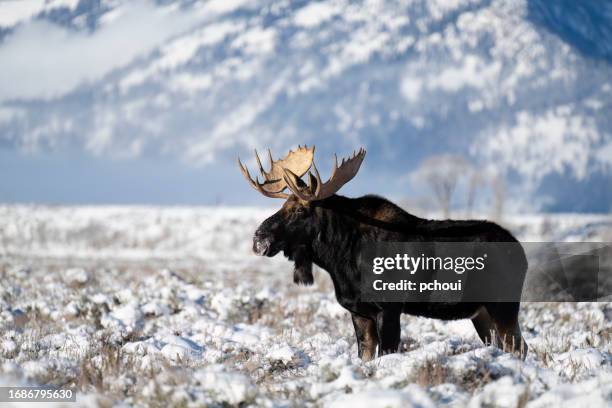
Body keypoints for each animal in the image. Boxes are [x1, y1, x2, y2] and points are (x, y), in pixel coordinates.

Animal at [238, 146, 524, 360]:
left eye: (299, 210)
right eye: (282, 206)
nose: (259, 239)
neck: (340, 260)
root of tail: (521, 252)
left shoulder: (389, 308)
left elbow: (387, 353)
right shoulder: (359, 311)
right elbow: (365, 355)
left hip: (503, 305)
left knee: (518, 347)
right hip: (482, 313)